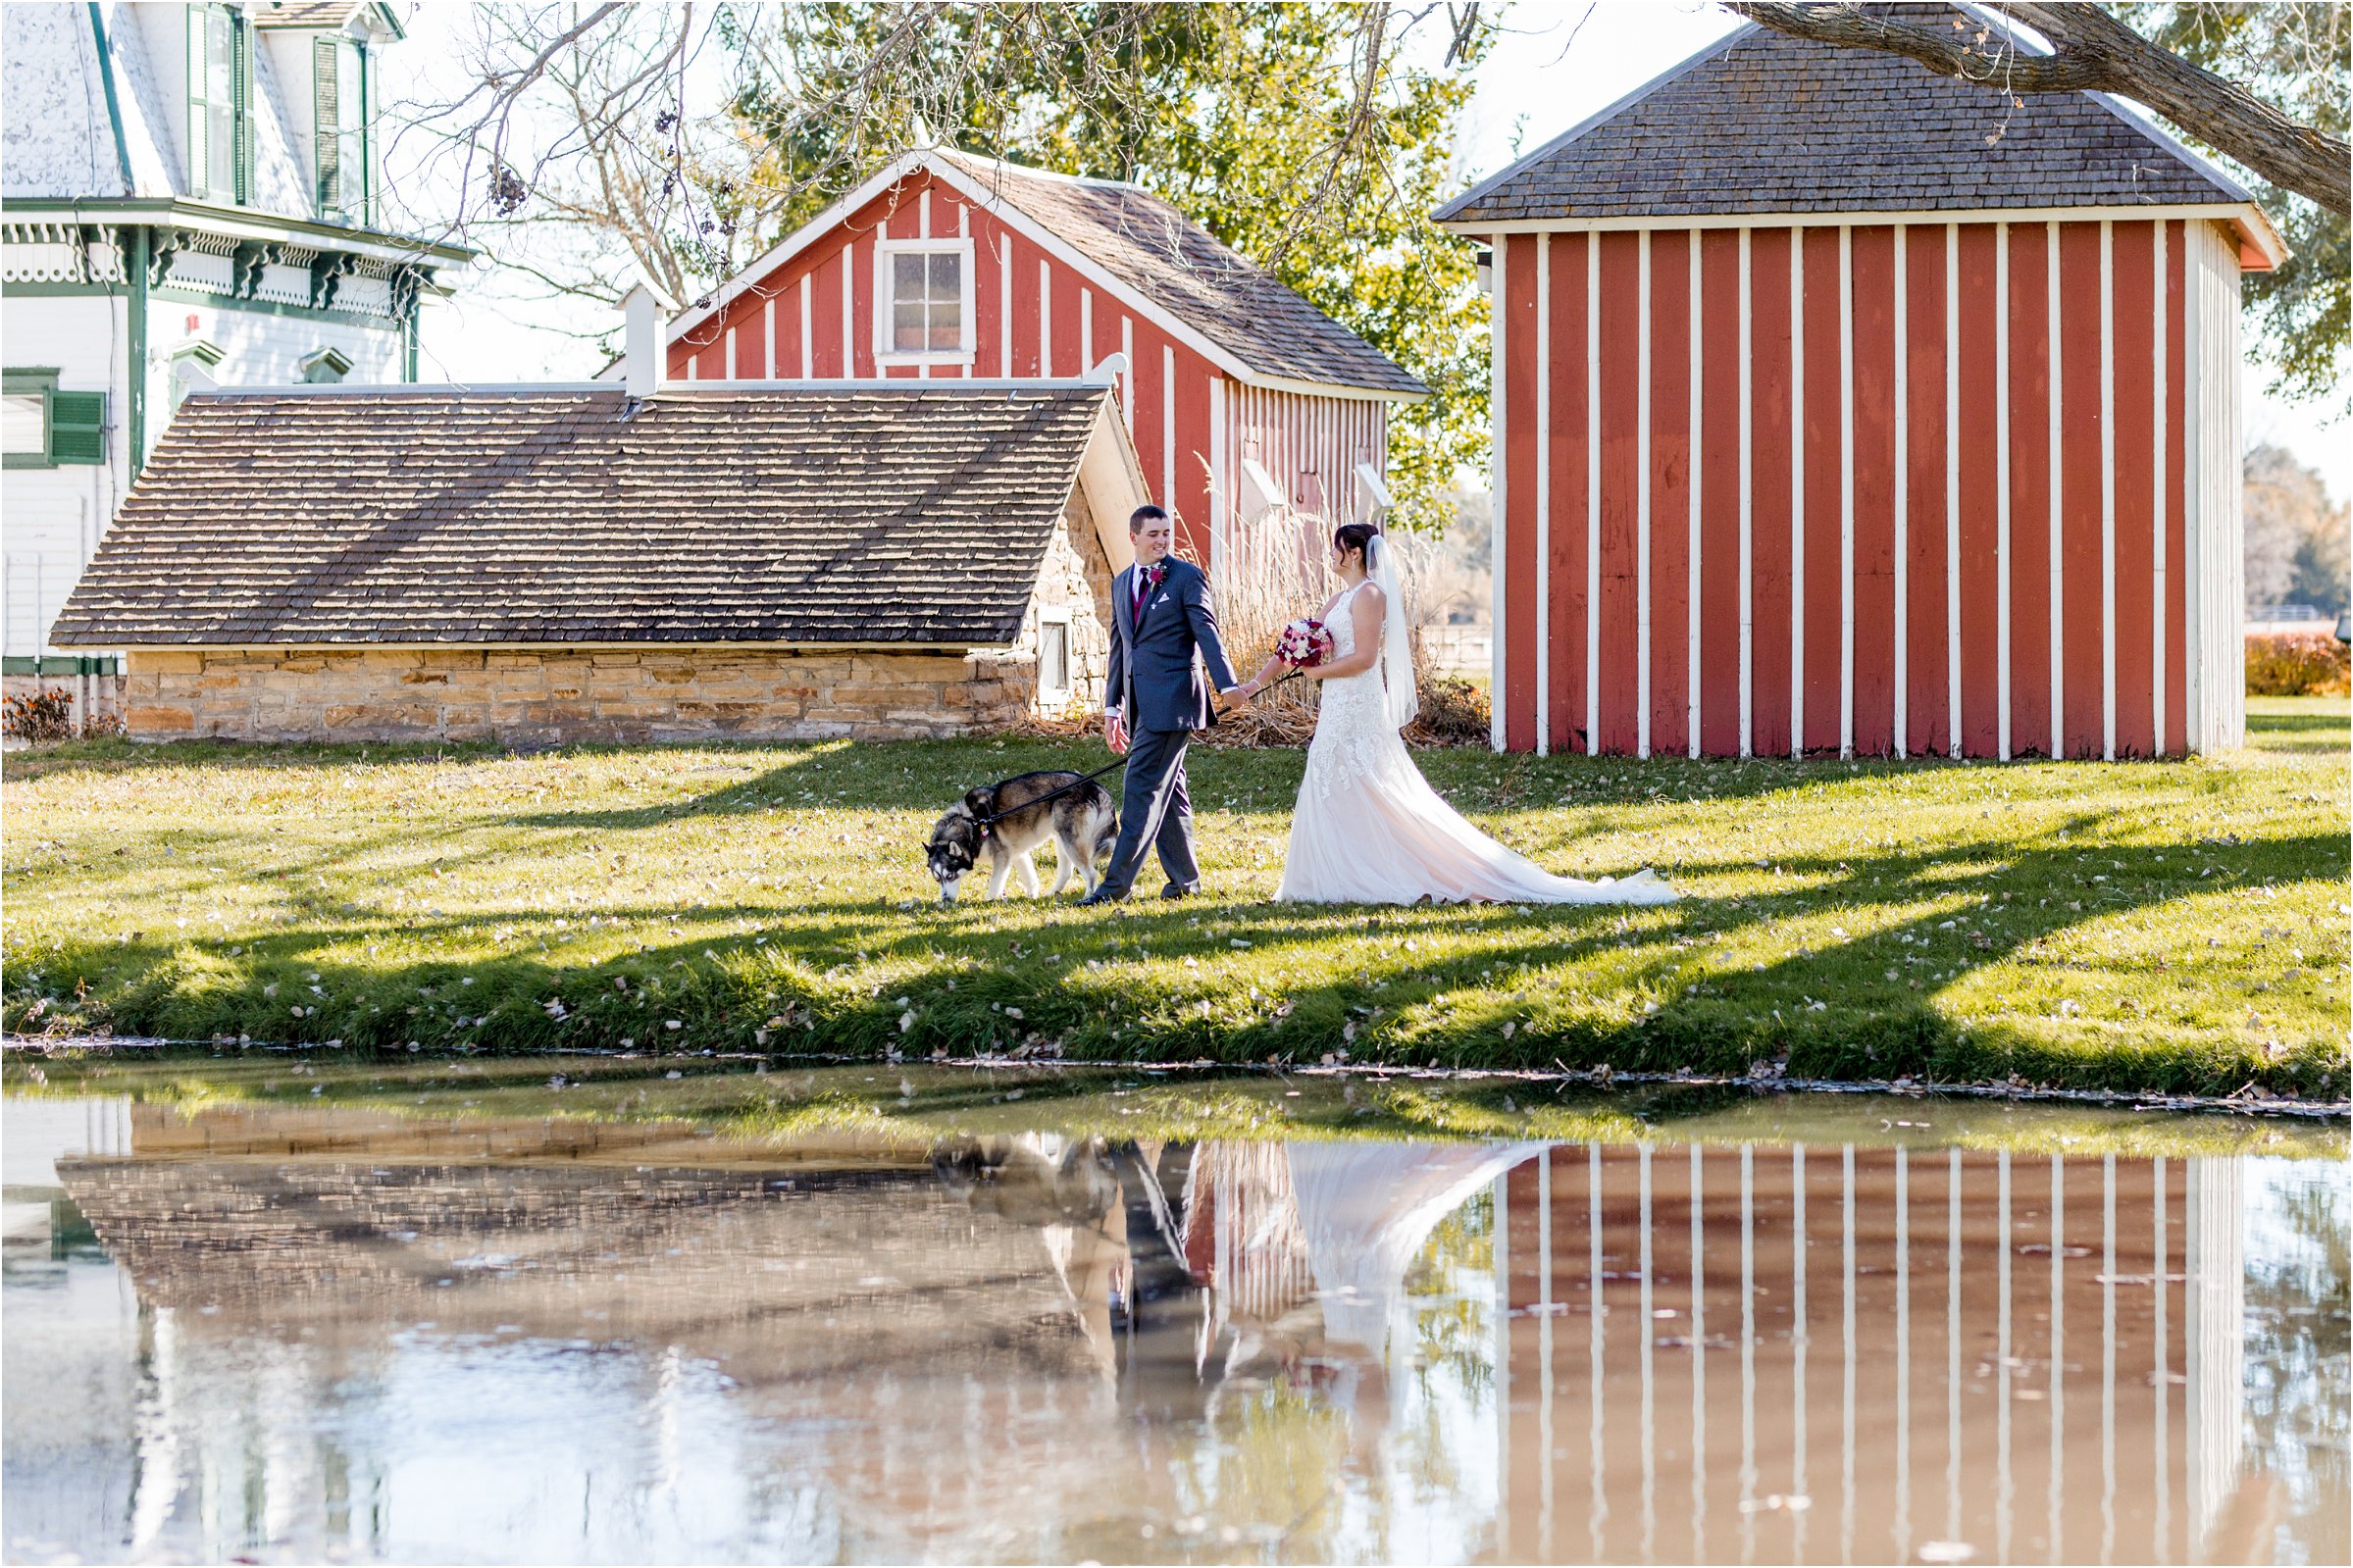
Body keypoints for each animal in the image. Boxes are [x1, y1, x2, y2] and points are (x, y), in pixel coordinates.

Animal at [922, 771, 1115, 902]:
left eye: (950, 876)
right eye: (937, 879)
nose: (945, 900)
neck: (973, 823)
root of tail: (1095, 785)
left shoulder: (1002, 856)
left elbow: (995, 882)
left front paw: (988, 901)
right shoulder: (1016, 853)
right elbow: (1030, 879)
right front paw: (1032, 896)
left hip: (1070, 841)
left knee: (1091, 874)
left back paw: (1087, 896)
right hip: (1061, 838)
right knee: (1067, 872)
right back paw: (1052, 893)